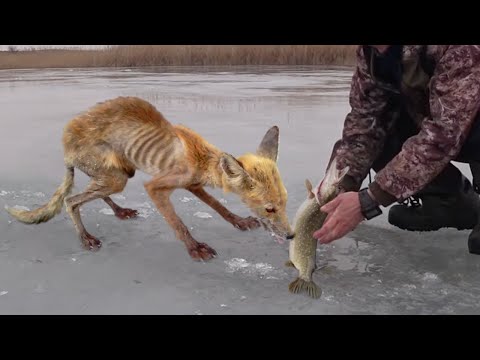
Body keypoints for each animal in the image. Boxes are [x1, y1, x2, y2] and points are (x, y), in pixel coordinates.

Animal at [5, 95, 294, 258]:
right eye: (269, 208)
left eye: (285, 203)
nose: (291, 236)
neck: (201, 158)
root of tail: (65, 144)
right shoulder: (156, 186)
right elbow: (178, 224)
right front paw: (195, 249)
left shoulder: (193, 185)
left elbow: (218, 207)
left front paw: (239, 222)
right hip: (116, 177)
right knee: (70, 201)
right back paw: (85, 238)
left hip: (116, 174)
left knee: (91, 195)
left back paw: (119, 211)